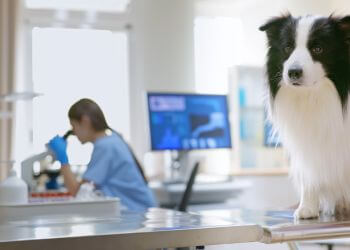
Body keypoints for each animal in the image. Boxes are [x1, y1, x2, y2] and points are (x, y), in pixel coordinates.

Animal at [260, 14, 350, 219]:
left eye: (318, 48)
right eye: (287, 47)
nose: (293, 72)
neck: (312, 96)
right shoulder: (306, 145)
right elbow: (309, 174)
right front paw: (307, 208)